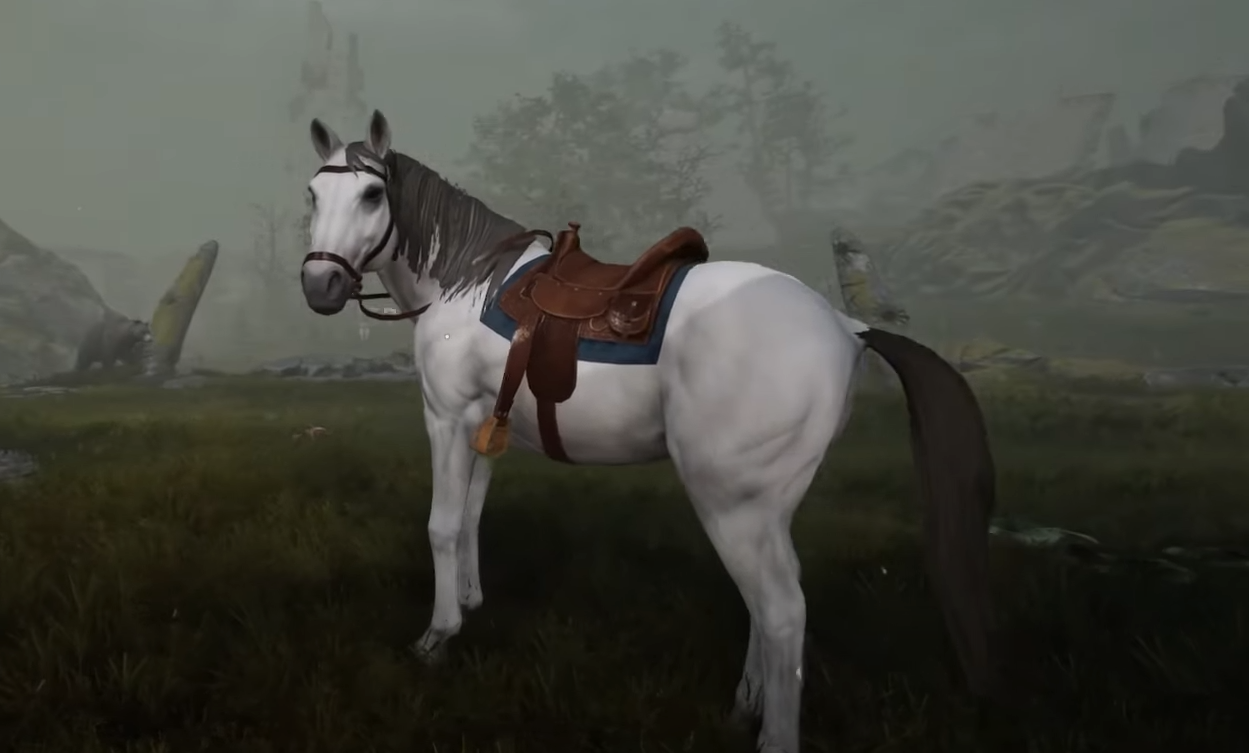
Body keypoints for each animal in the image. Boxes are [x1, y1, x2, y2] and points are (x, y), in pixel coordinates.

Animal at [297, 110, 999, 753]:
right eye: (312, 194)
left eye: (372, 194)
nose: (320, 285)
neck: (469, 286)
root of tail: (845, 325)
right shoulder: (482, 425)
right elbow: (471, 517)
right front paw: (469, 603)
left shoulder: (446, 417)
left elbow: (443, 525)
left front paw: (437, 637)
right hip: (765, 508)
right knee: (770, 603)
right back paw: (745, 704)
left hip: (730, 502)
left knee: (781, 610)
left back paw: (772, 733)